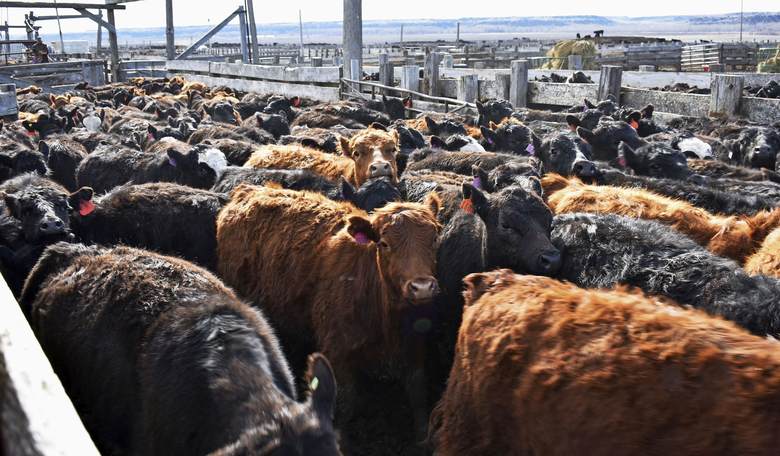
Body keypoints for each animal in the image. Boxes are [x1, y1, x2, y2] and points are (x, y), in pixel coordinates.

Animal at [217, 185, 441, 443]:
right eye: (384, 243)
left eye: (434, 238)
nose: (422, 286)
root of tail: (250, 189)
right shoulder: (336, 352)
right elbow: (345, 403)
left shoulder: (415, 347)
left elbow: (418, 393)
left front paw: (423, 439)